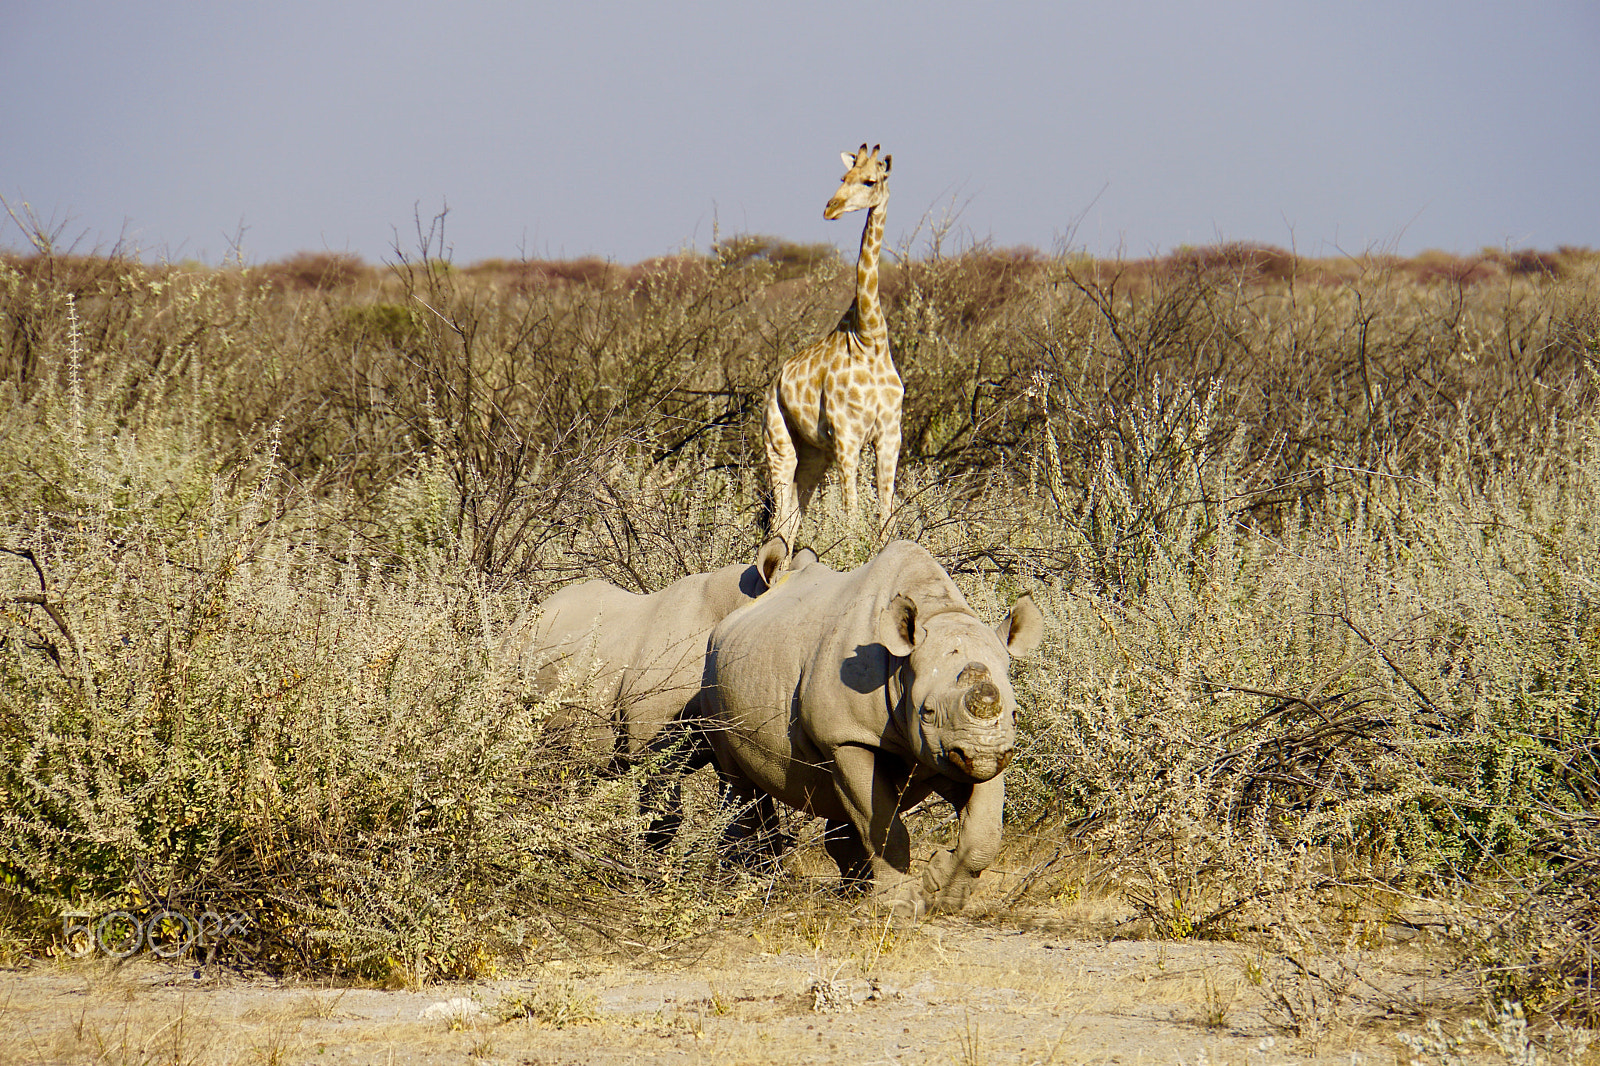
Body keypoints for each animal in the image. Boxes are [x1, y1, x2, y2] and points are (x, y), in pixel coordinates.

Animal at [768, 143, 908, 547]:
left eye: (870, 180)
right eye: (843, 177)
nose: (830, 207)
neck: (870, 337)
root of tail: (775, 380)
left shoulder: (890, 434)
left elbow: (886, 516)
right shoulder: (848, 435)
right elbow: (851, 515)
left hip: (815, 455)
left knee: (791, 521)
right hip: (779, 442)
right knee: (777, 520)